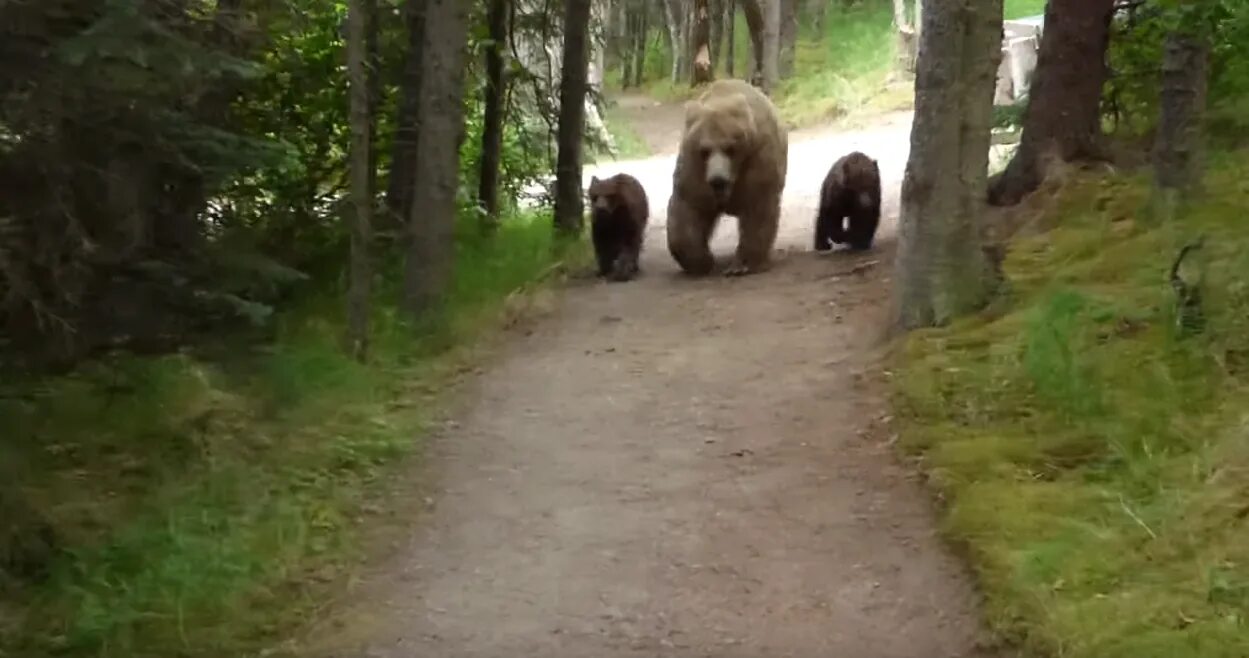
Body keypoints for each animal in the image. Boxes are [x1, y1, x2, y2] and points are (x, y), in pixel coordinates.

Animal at [669, 78, 784, 277]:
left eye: (730, 148)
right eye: (705, 150)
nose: (718, 179)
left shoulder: (757, 157)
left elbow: (758, 207)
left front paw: (742, 265)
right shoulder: (695, 169)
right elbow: (689, 207)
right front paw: (702, 261)